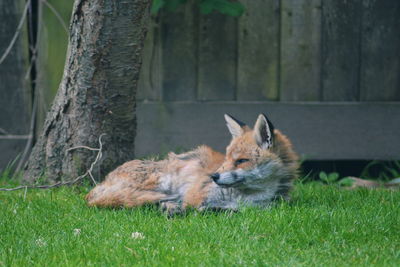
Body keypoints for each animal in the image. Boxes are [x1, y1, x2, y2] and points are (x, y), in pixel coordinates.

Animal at [87, 114, 300, 215]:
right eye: (227, 159)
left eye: (241, 161)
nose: (213, 176)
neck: (245, 196)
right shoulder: (194, 196)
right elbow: (195, 206)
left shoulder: (267, 208)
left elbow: (233, 210)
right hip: (161, 183)